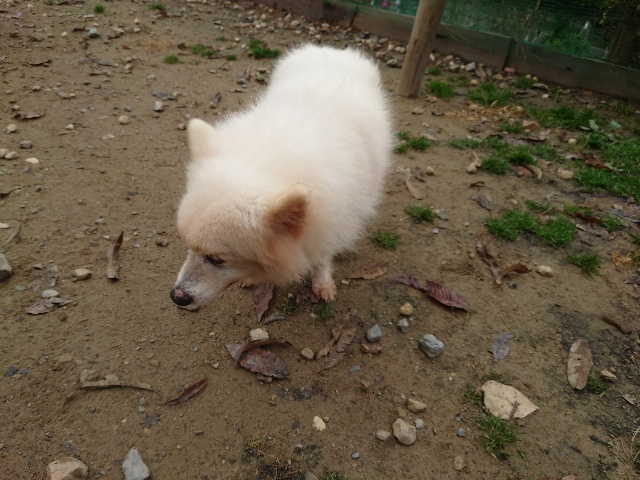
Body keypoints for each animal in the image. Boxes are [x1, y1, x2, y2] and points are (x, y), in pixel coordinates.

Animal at [170, 44, 392, 308]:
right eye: (187, 246)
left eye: (217, 259)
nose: (177, 297)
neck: (270, 162)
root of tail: (331, 49)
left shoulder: (331, 218)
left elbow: (322, 257)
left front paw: (322, 283)